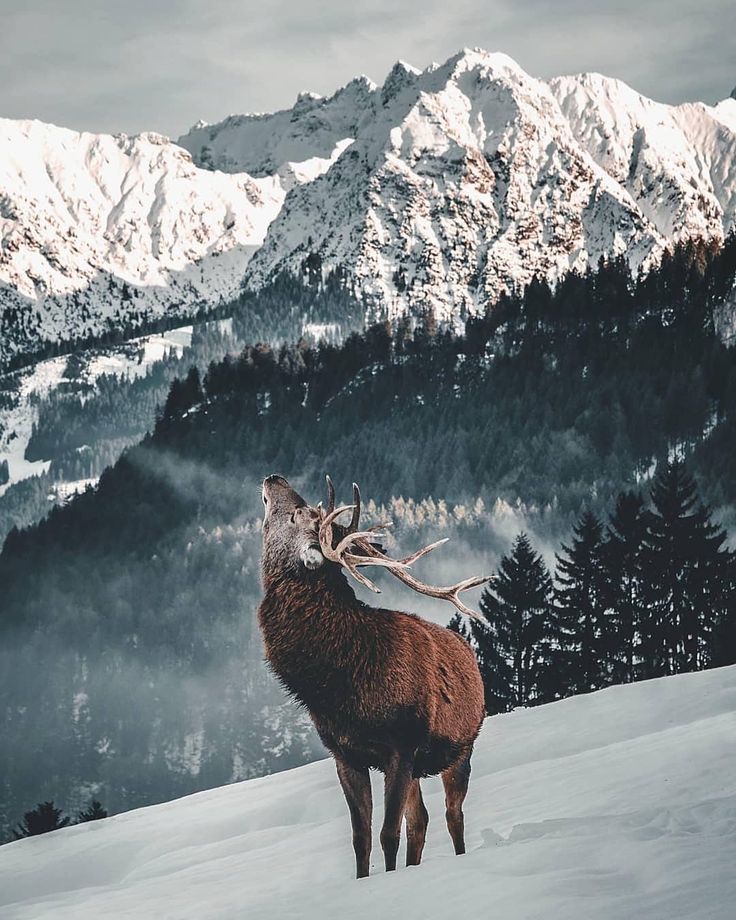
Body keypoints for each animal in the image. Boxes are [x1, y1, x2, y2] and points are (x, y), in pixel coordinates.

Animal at [258, 474, 488, 876]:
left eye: (299, 513)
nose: (274, 478)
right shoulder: (345, 754)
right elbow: (361, 838)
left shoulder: (402, 744)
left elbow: (387, 835)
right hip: (418, 767)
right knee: (421, 820)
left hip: (461, 748)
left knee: (452, 814)